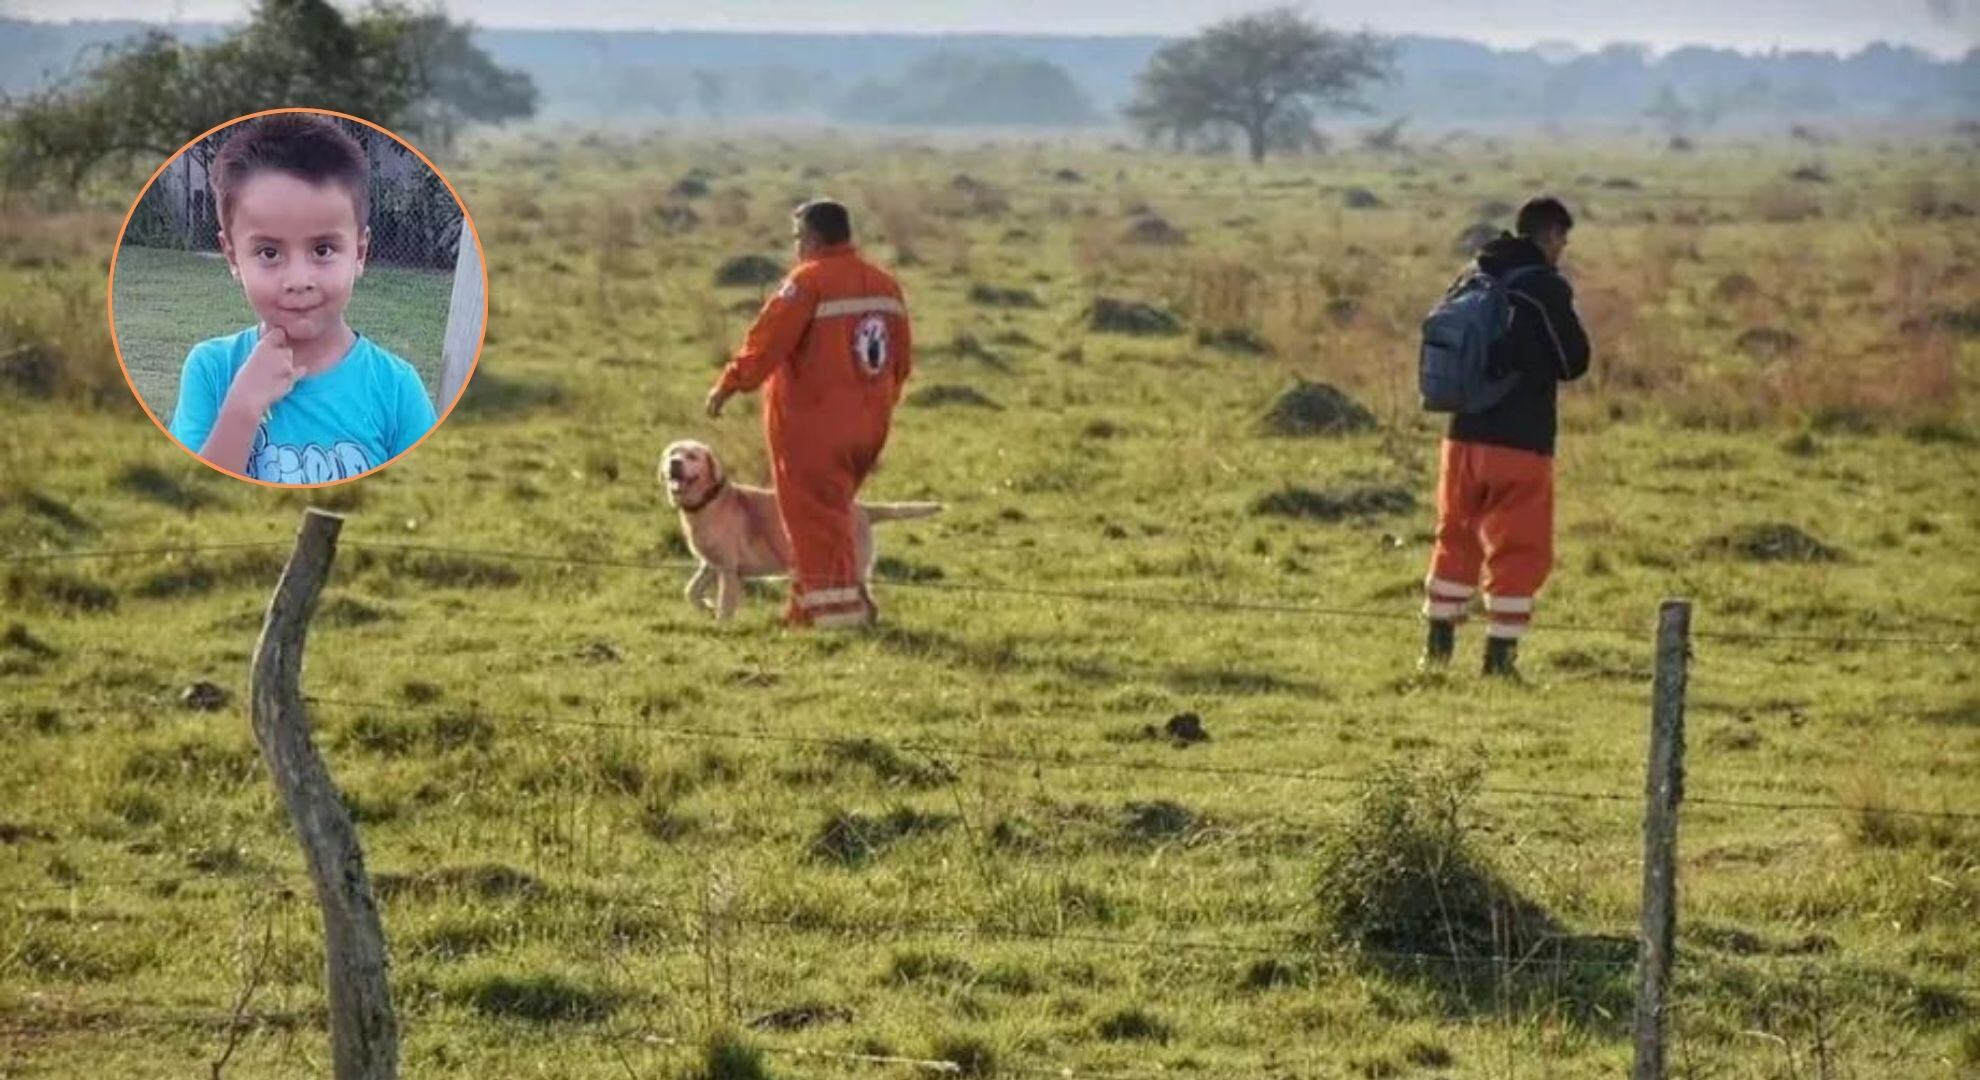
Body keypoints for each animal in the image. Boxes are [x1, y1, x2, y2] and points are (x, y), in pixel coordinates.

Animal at [657, 437, 942, 618]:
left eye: (692, 456)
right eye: (672, 452)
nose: (675, 463)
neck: (709, 501)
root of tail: (863, 508)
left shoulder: (728, 568)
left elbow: (725, 605)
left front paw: (721, 625)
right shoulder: (710, 564)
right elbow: (691, 591)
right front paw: (706, 607)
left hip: (847, 568)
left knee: (868, 605)